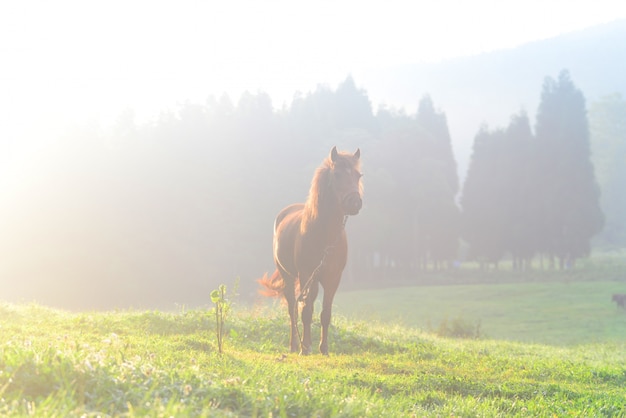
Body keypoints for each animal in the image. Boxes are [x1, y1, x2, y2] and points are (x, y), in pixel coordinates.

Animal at [258, 147, 364, 356]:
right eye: (337, 175)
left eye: (358, 175)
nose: (354, 202)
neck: (326, 237)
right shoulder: (308, 275)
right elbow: (306, 312)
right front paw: (305, 347)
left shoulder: (333, 278)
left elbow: (325, 313)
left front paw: (324, 348)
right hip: (289, 276)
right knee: (293, 308)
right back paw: (294, 345)